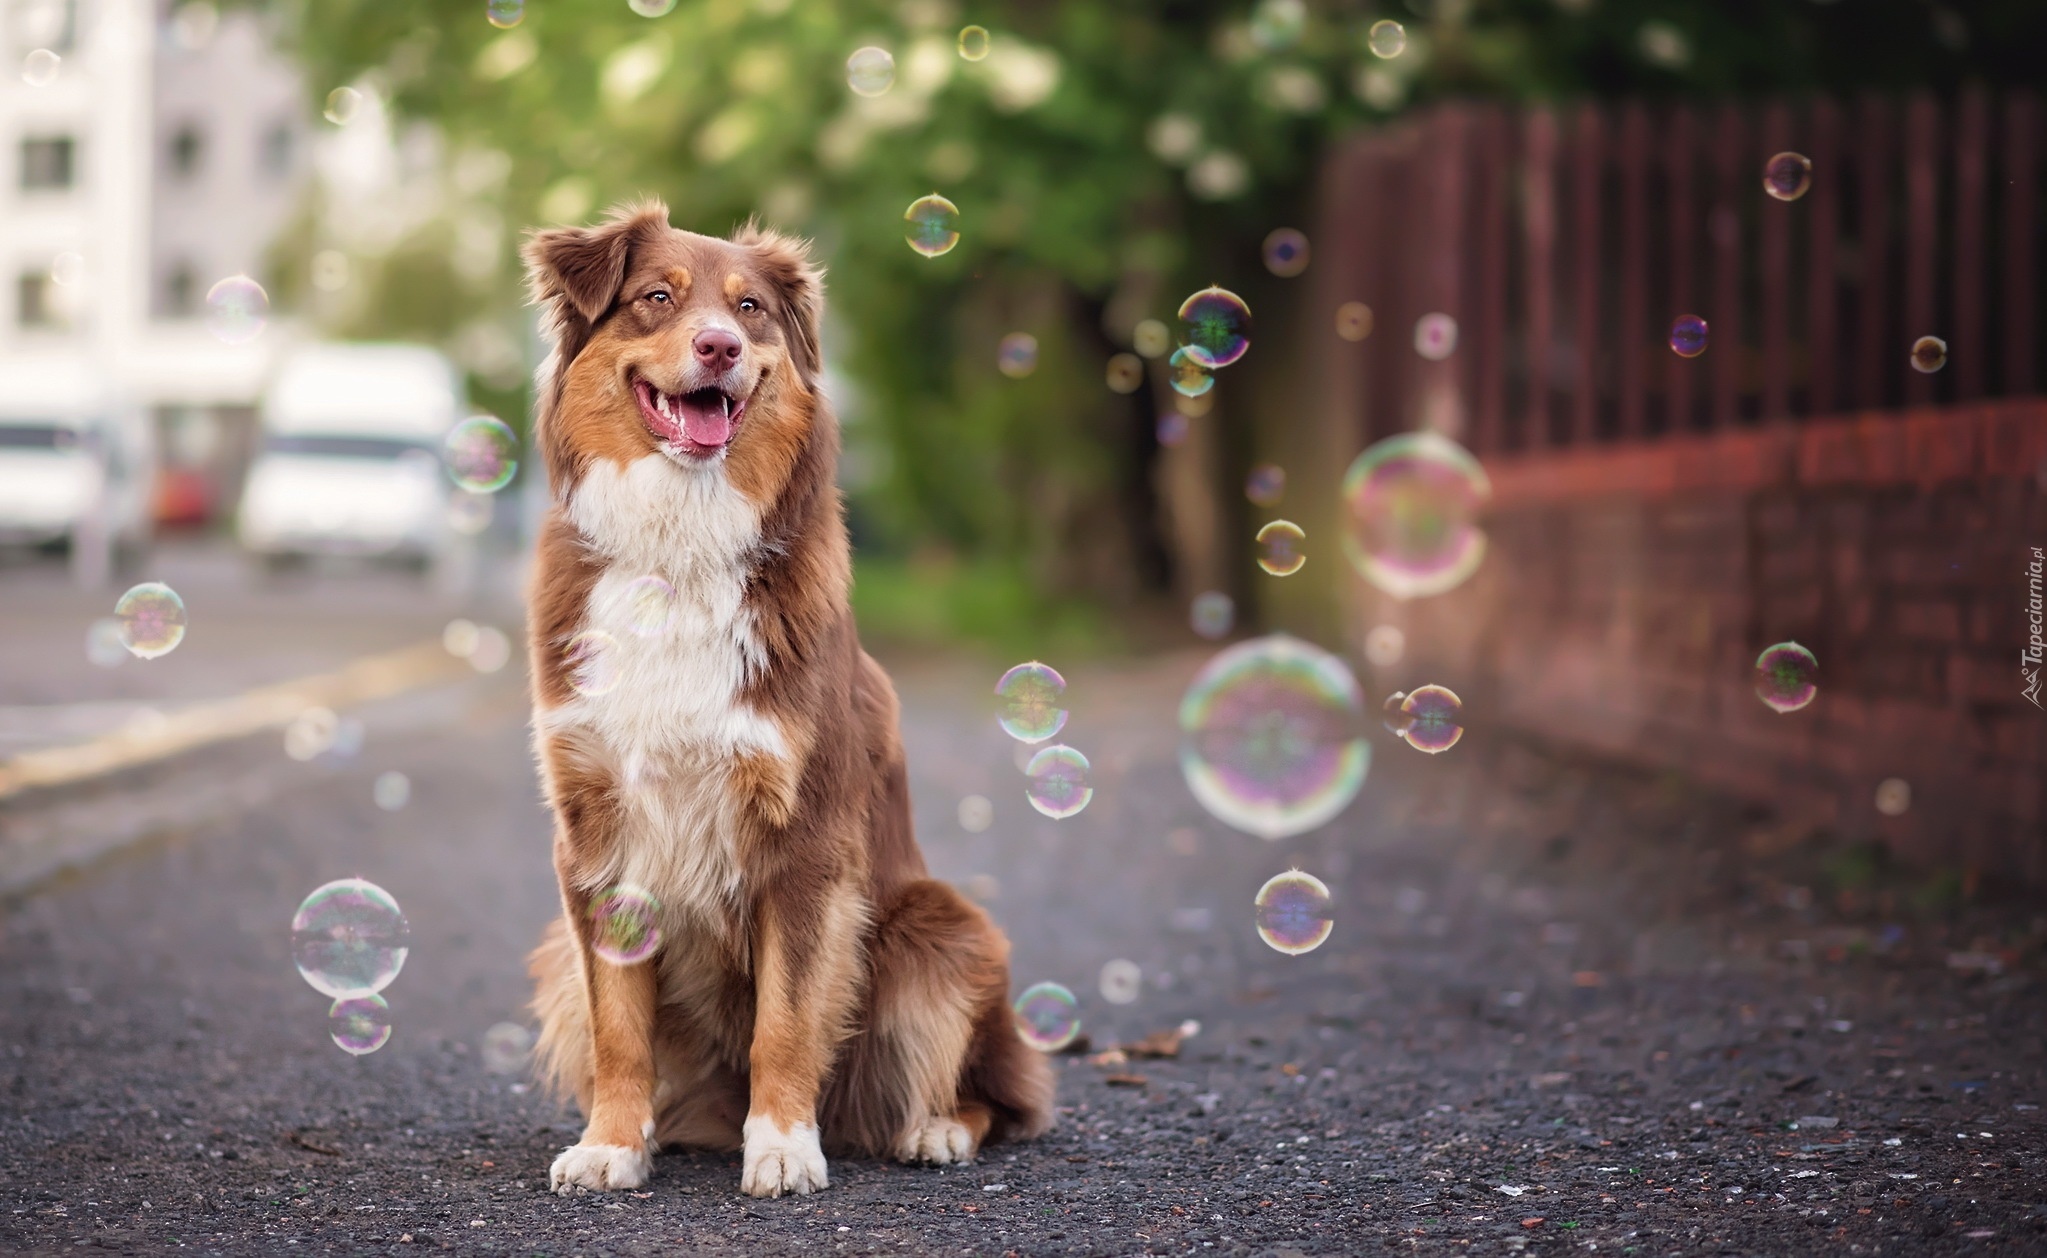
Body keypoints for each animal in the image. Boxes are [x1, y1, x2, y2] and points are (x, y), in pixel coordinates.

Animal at [519, 201, 1056, 1194]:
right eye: (656, 298)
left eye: (751, 309)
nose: (721, 346)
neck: (679, 548)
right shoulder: (594, 838)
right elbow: (618, 1027)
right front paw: (610, 1144)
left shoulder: (804, 839)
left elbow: (787, 1017)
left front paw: (780, 1147)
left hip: (943, 927)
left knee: (999, 1095)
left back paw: (932, 1128)